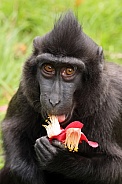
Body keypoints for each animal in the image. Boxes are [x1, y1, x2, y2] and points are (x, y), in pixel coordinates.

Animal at [0, 10, 122, 183]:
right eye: (48, 68)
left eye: (69, 71)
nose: (54, 100)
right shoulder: (26, 89)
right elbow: (13, 130)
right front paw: (29, 176)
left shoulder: (109, 109)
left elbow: (116, 168)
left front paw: (60, 159)